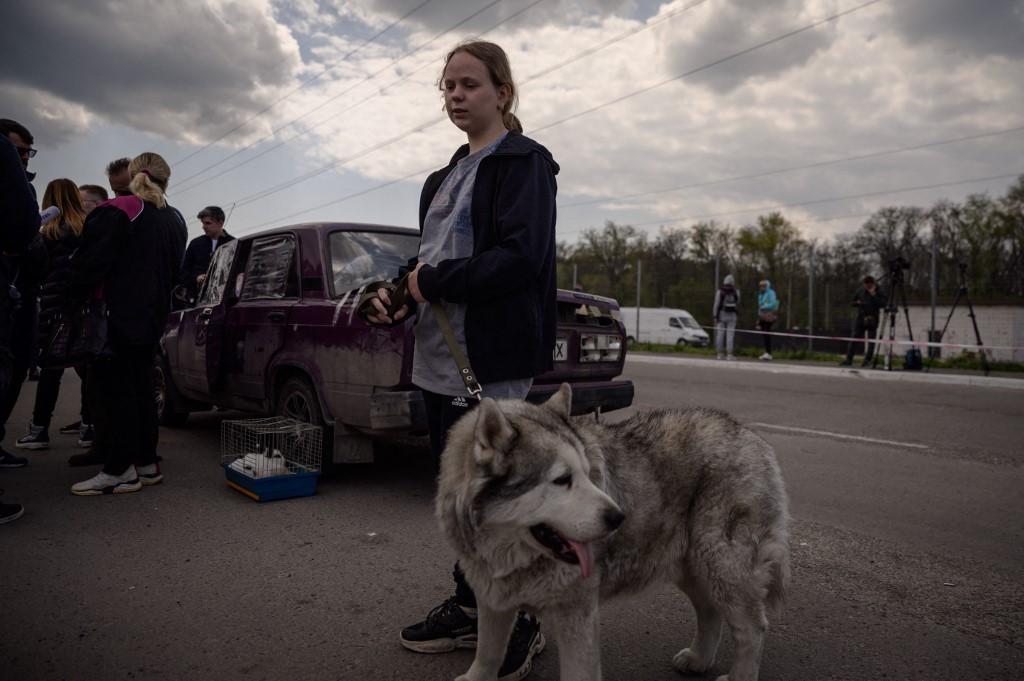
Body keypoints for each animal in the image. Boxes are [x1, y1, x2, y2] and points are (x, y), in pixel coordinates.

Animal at [436, 382, 786, 679]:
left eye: (587, 473)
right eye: (562, 480)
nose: (618, 517)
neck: (509, 552)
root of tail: (749, 434)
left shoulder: (577, 617)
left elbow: (578, 673)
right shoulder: (493, 602)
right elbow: (487, 654)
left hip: (721, 567)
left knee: (752, 629)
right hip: (693, 568)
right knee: (710, 611)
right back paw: (699, 659)